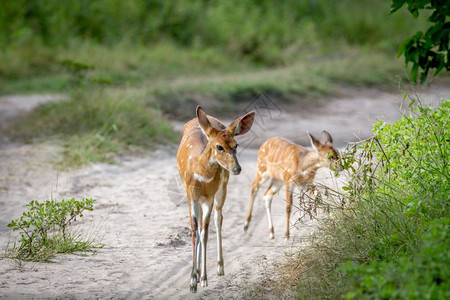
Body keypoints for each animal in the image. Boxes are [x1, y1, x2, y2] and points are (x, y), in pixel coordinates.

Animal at [177, 106, 255, 292]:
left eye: (236, 145)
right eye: (219, 147)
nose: (237, 168)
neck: (201, 174)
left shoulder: (210, 197)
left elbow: (205, 232)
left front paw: (203, 279)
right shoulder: (191, 196)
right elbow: (195, 231)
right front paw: (193, 280)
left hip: (222, 188)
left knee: (218, 219)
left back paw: (220, 267)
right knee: (202, 226)